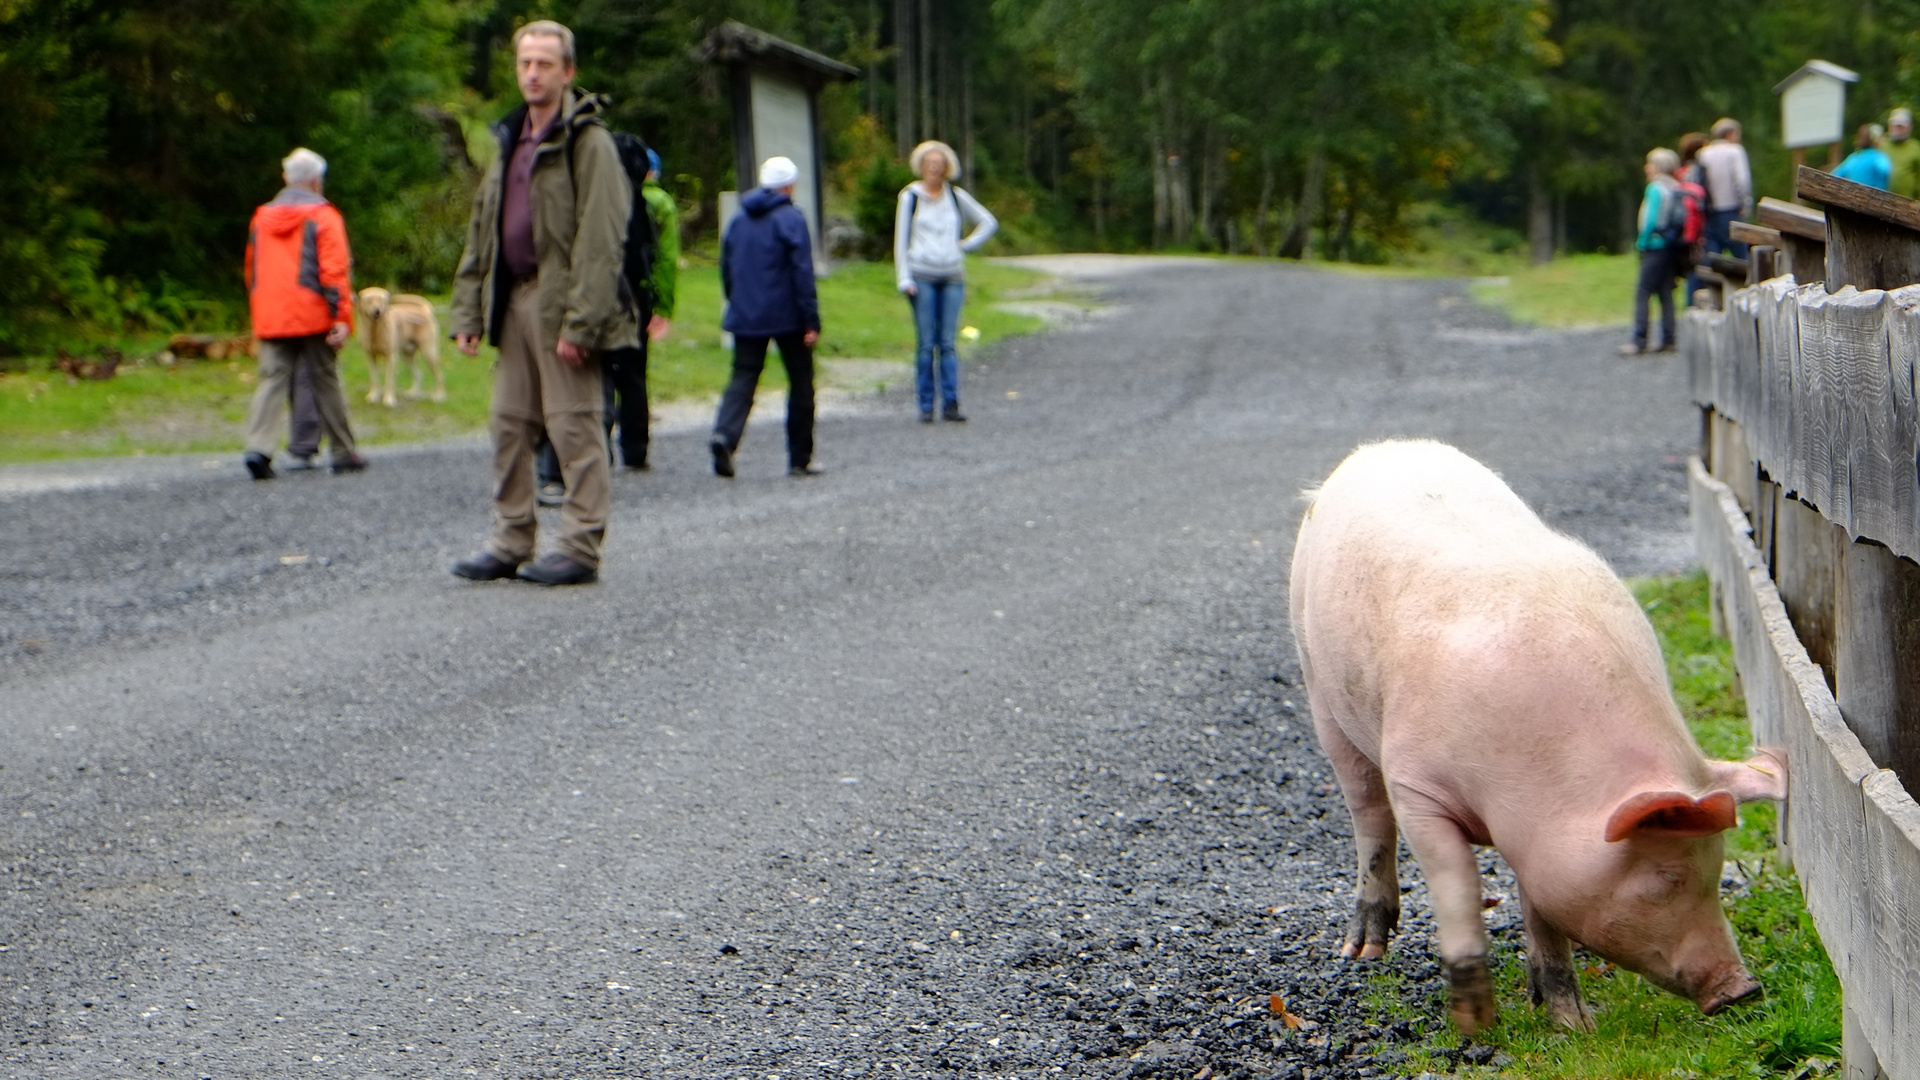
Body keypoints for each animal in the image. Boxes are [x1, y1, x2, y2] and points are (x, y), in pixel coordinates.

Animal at [1290, 438, 1781, 1022]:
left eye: (1717, 868)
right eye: (1668, 877)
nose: (1743, 989)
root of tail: (1379, 449)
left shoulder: (1540, 841)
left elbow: (1543, 912)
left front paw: (1572, 1024)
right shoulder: (1417, 786)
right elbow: (1458, 887)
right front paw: (1477, 1023)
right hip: (1317, 679)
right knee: (1367, 811)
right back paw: (1362, 952)